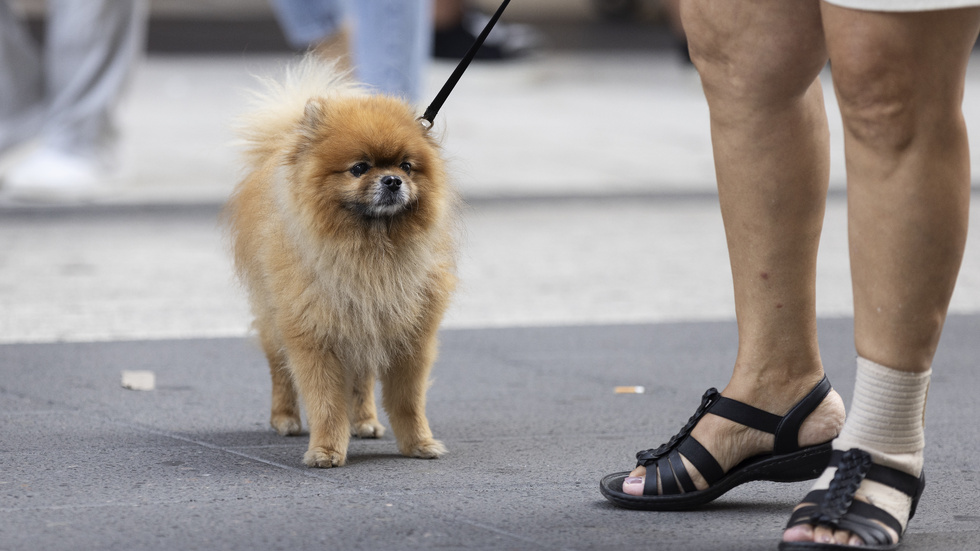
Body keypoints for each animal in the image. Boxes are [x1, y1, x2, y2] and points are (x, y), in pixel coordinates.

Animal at [226, 57, 460, 470]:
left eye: (407, 166)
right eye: (359, 168)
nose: (392, 180)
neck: (370, 249)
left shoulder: (408, 335)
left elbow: (408, 400)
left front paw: (419, 443)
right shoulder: (314, 334)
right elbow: (325, 402)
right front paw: (326, 450)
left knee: (362, 378)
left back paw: (364, 420)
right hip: (275, 318)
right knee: (279, 370)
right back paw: (284, 418)